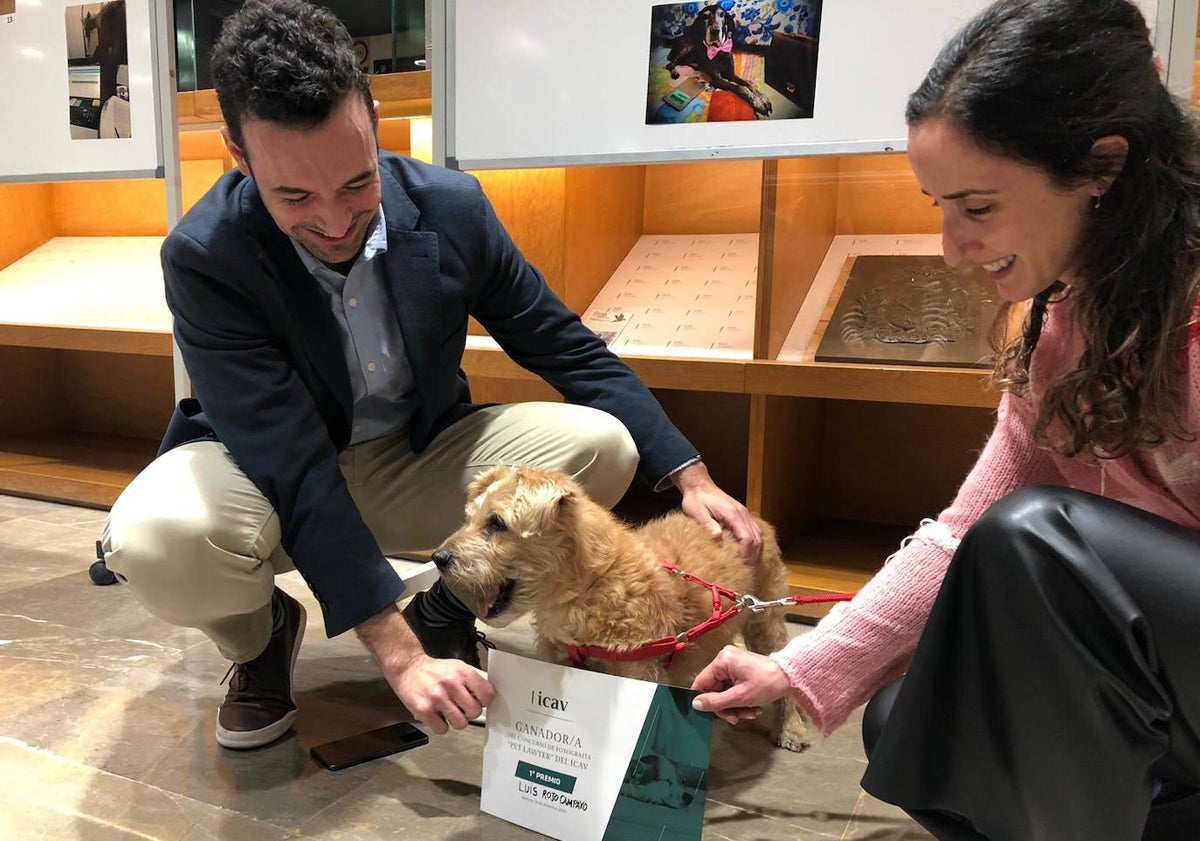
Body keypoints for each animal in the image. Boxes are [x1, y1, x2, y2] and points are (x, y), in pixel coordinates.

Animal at [436, 463, 811, 753]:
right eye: (469, 518)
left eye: (497, 523)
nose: (439, 557)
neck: (593, 584)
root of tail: (755, 517)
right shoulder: (560, 661)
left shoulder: (638, 674)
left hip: (767, 623)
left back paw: (791, 728)